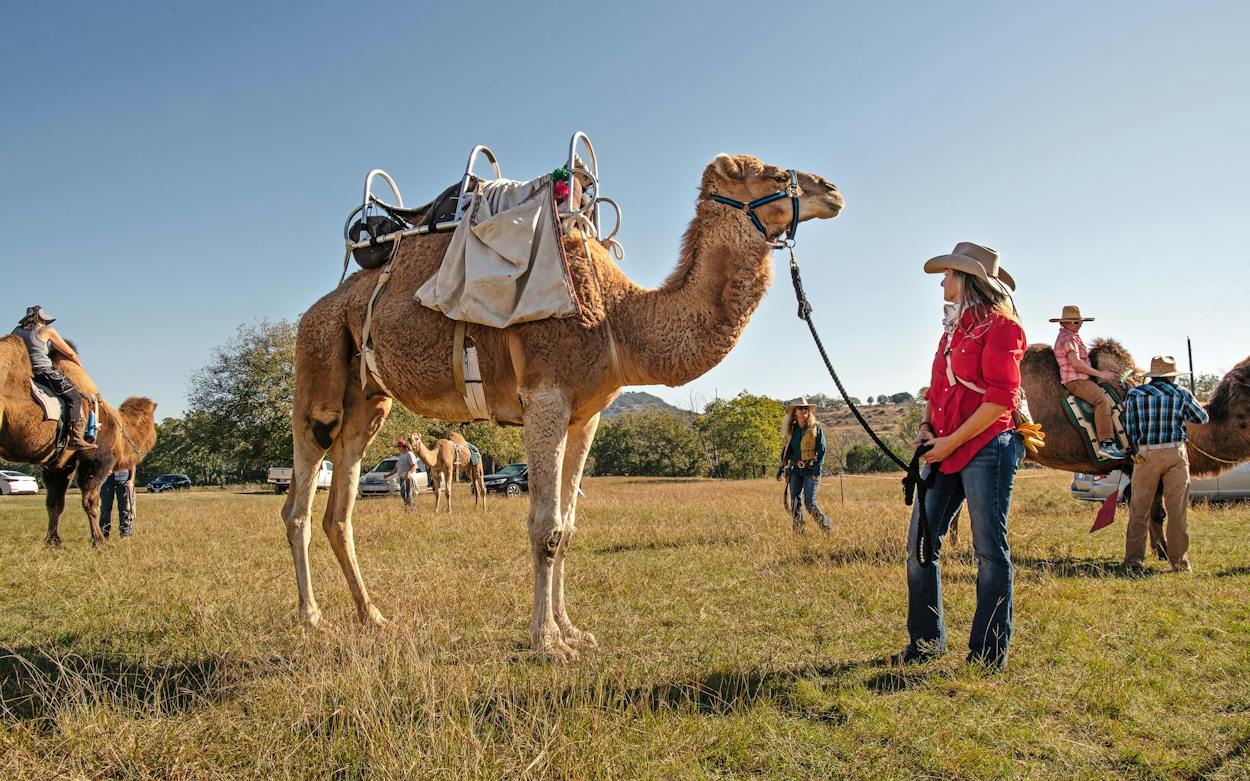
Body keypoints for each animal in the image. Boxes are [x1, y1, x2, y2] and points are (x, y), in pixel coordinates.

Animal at [0, 334, 158, 545]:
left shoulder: (58, 464)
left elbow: (55, 503)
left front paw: (53, 541)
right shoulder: (96, 460)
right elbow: (91, 502)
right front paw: (99, 540)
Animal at [280, 153, 843, 661]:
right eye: (773, 173)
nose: (832, 189)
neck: (619, 320)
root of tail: (319, 307)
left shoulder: (584, 415)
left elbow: (568, 527)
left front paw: (573, 630)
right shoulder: (546, 397)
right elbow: (545, 526)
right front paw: (546, 641)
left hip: (368, 399)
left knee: (340, 506)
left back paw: (372, 615)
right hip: (318, 362)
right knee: (300, 496)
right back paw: (312, 618)